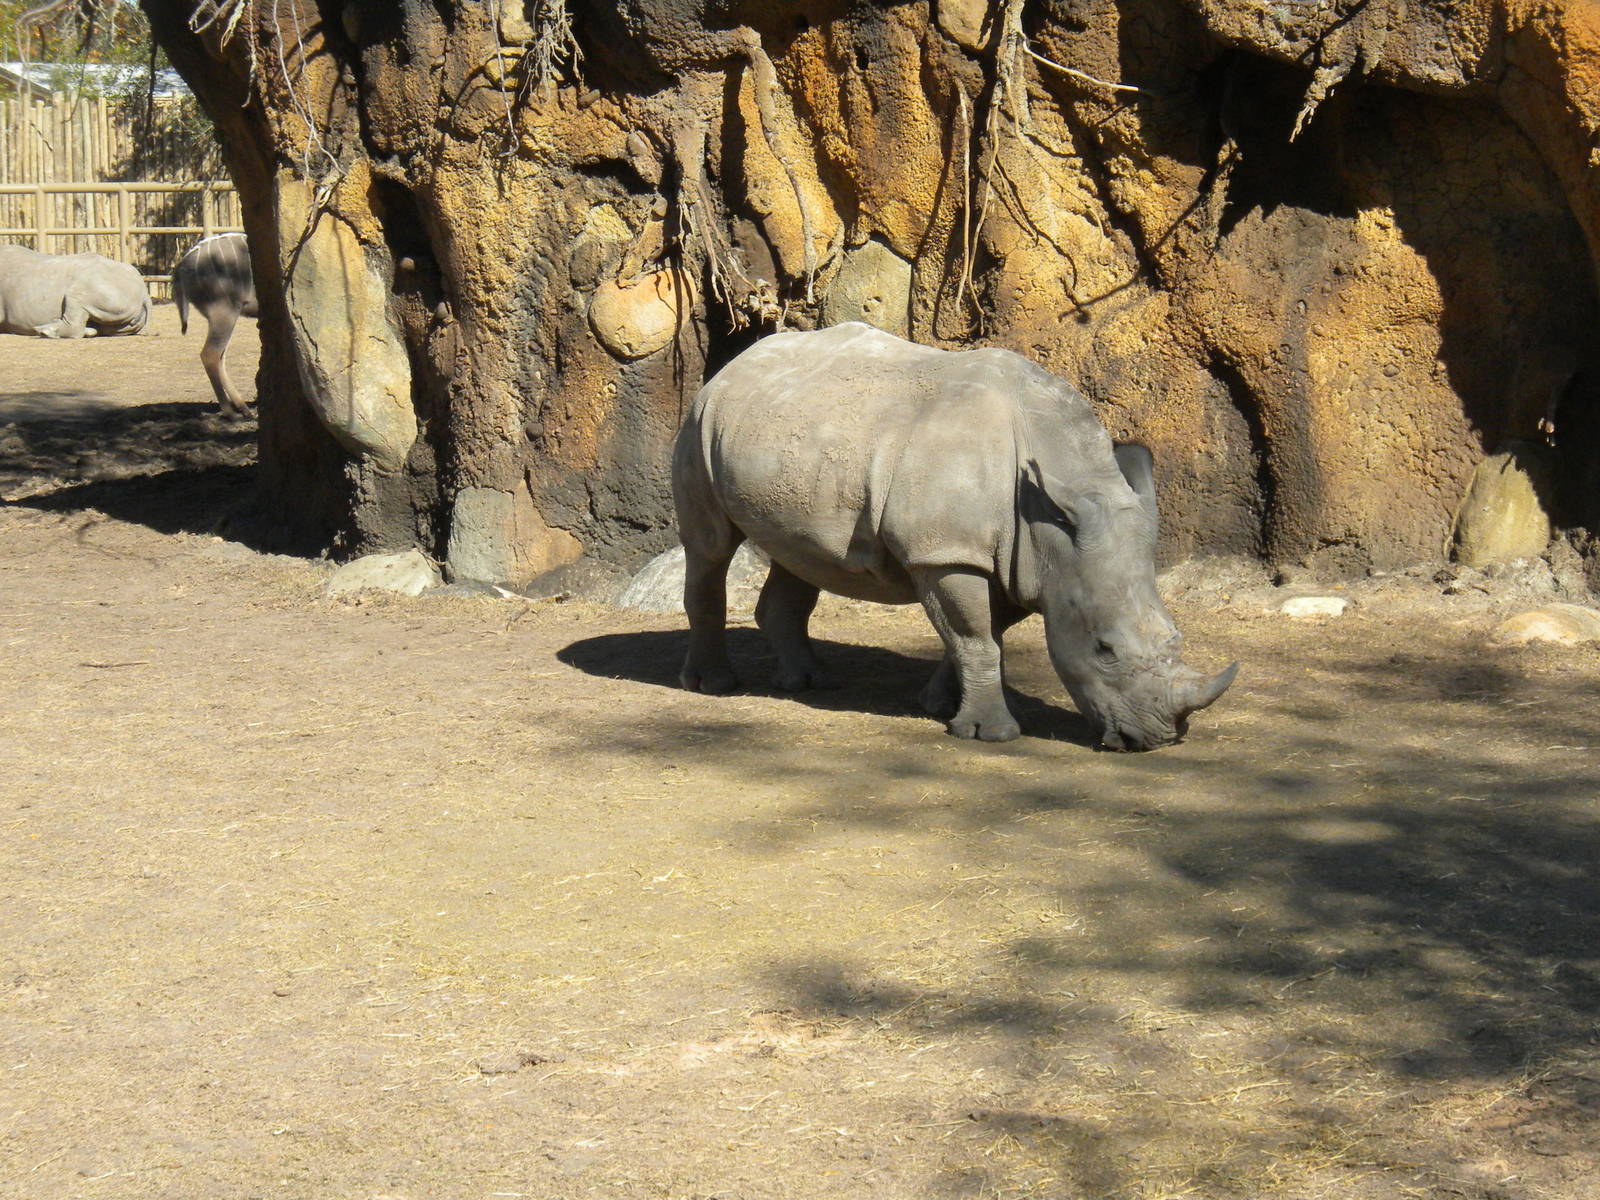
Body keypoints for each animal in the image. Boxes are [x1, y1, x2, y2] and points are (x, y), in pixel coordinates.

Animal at [173, 233, 258, 417]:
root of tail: (181, 265)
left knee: (220, 357)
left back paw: (243, 408)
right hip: (224, 312)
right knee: (210, 354)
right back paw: (229, 411)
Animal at [672, 322, 1237, 748]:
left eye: (1176, 637)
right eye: (1104, 649)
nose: (1161, 737)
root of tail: (735, 363)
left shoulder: (1018, 557)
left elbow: (981, 634)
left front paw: (939, 704)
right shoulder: (946, 553)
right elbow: (975, 636)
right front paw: (994, 734)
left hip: (786, 438)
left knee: (800, 555)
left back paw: (812, 682)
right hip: (700, 422)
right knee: (710, 548)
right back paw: (713, 685)